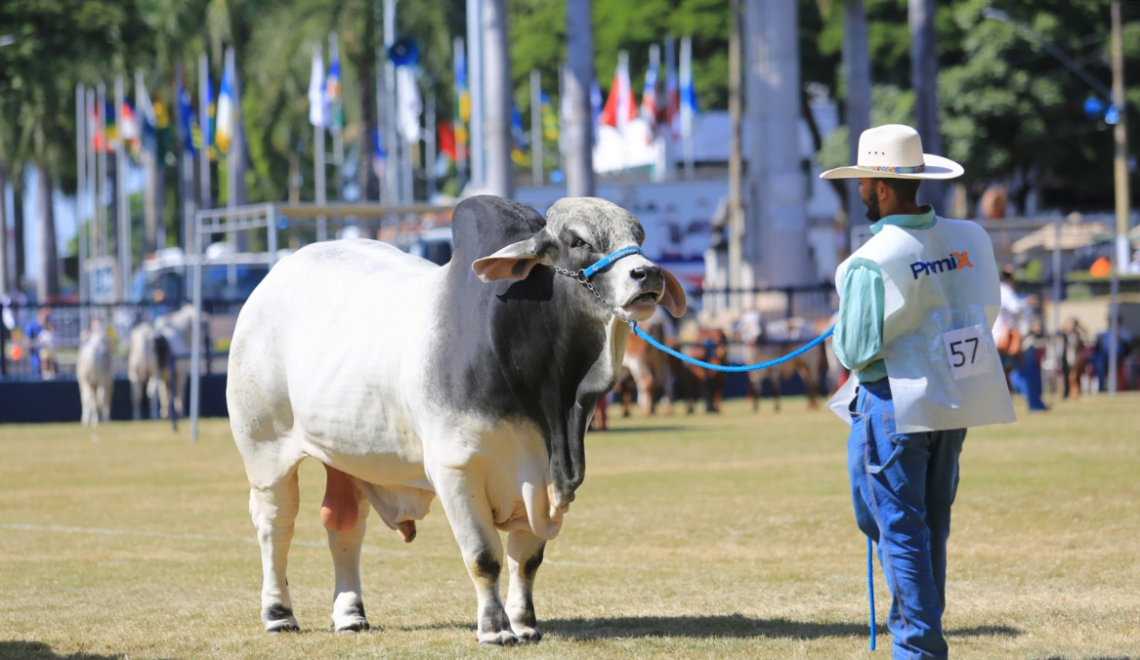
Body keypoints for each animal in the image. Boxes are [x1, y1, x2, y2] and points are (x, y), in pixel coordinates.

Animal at [226, 196, 679, 647]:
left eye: (638, 237)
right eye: (578, 241)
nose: (648, 273)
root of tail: (270, 281)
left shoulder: (543, 478)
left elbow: (526, 559)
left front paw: (525, 624)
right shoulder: (457, 471)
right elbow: (484, 557)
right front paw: (495, 629)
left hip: (349, 457)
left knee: (345, 525)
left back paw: (350, 614)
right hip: (264, 451)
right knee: (275, 525)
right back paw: (279, 614)